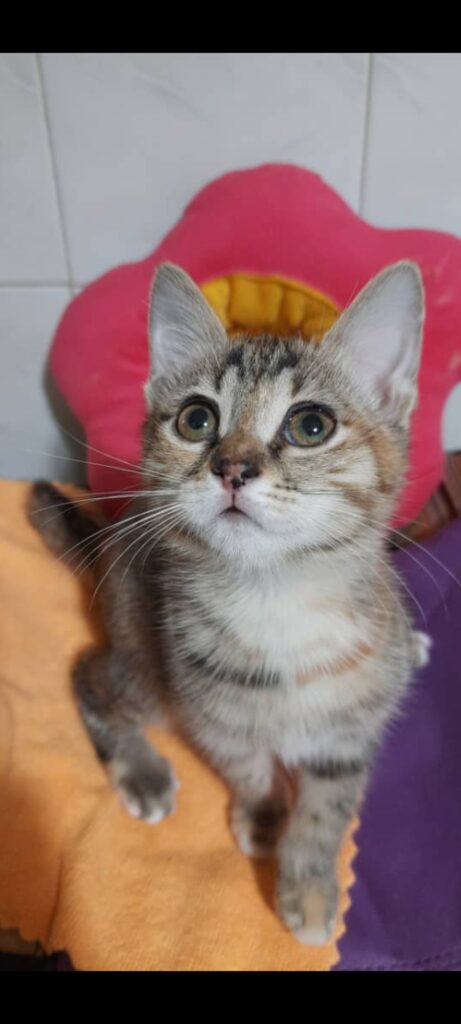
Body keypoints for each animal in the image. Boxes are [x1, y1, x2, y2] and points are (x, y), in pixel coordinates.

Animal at [29, 260, 431, 946]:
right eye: (196, 419)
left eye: (311, 426)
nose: (232, 468)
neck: (280, 600)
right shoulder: (210, 713)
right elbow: (249, 765)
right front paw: (265, 815)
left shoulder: (352, 732)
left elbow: (329, 808)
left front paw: (310, 887)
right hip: (150, 677)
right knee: (87, 675)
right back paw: (143, 771)